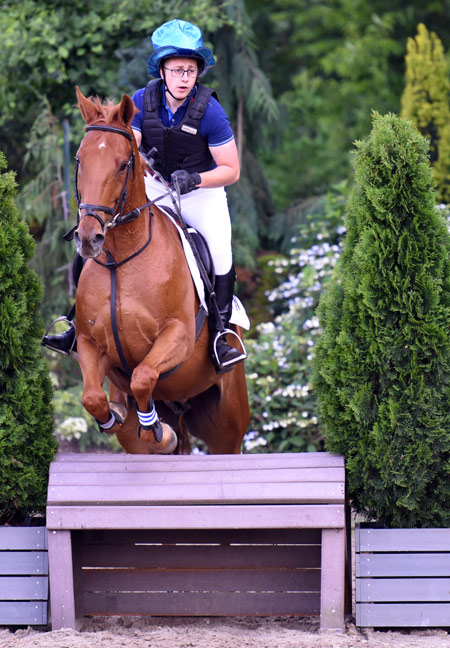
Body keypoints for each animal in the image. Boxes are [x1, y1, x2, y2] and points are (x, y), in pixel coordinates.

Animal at [71, 87, 249, 455]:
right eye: (80, 160)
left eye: (123, 164)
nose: (89, 238)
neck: (121, 260)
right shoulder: (89, 343)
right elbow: (93, 397)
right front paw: (118, 417)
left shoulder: (177, 336)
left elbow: (143, 377)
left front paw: (158, 430)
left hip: (227, 427)